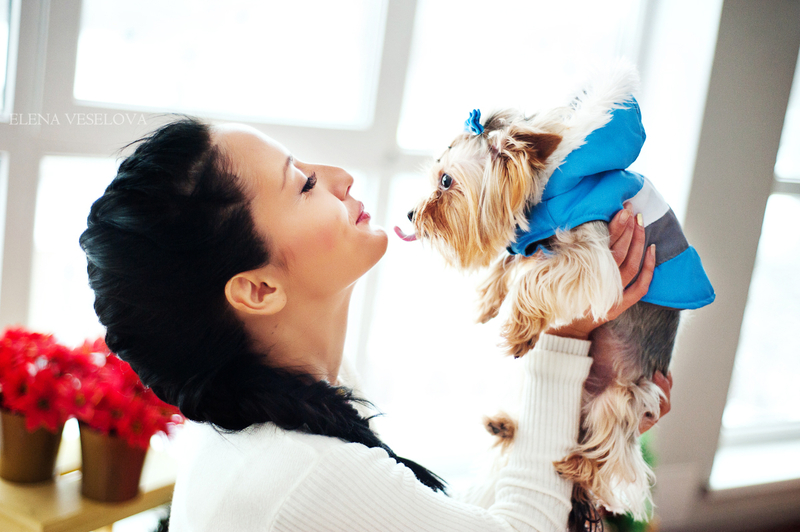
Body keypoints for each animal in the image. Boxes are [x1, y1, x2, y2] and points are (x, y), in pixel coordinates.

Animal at [396, 64, 715, 526]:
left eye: (446, 180)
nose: (409, 214)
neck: (550, 181)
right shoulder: (539, 236)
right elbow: (512, 261)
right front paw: (488, 301)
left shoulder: (596, 258)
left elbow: (534, 274)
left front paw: (517, 327)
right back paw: (505, 427)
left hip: (624, 396)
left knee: (613, 456)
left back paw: (576, 464)